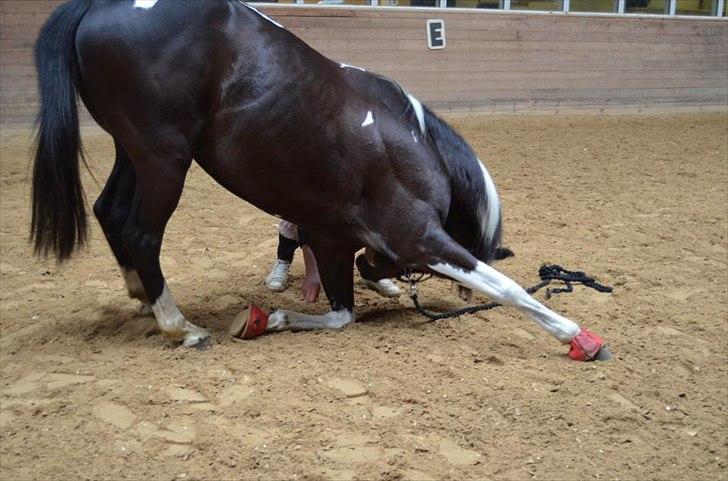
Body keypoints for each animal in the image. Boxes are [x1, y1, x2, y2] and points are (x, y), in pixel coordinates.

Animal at [31, 0, 610, 361]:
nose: (377, 266)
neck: (415, 144)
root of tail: (97, 7)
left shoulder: (333, 241)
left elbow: (341, 315)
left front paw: (274, 318)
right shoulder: (418, 237)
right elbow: (507, 288)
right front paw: (577, 336)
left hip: (134, 152)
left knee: (109, 212)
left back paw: (142, 295)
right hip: (163, 158)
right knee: (142, 233)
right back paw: (181, 327)